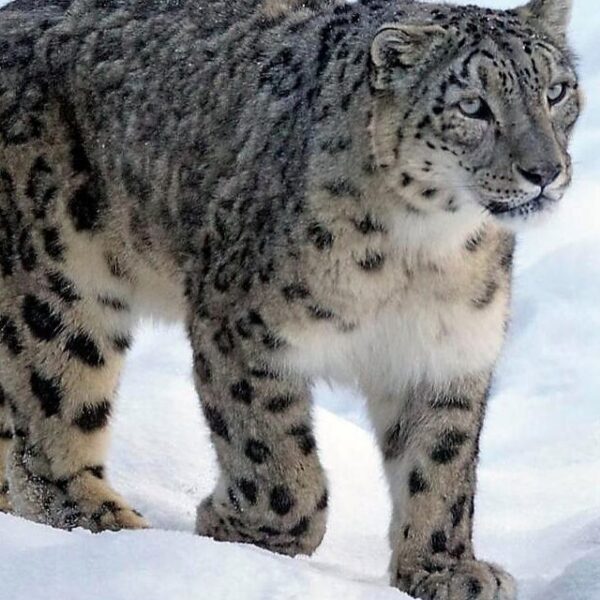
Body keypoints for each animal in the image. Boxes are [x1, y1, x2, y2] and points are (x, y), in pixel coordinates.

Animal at [0, 0, 580, 596]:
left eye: (557, 91)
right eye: (472, 106)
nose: (544, 171)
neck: (424, 256)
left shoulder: (447, 352)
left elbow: (440, 465)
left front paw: (444, 569)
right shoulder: (241, 329)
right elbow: (275, 459)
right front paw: (235, 528)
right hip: (62, 284)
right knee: (50, 423)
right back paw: (109, 531)